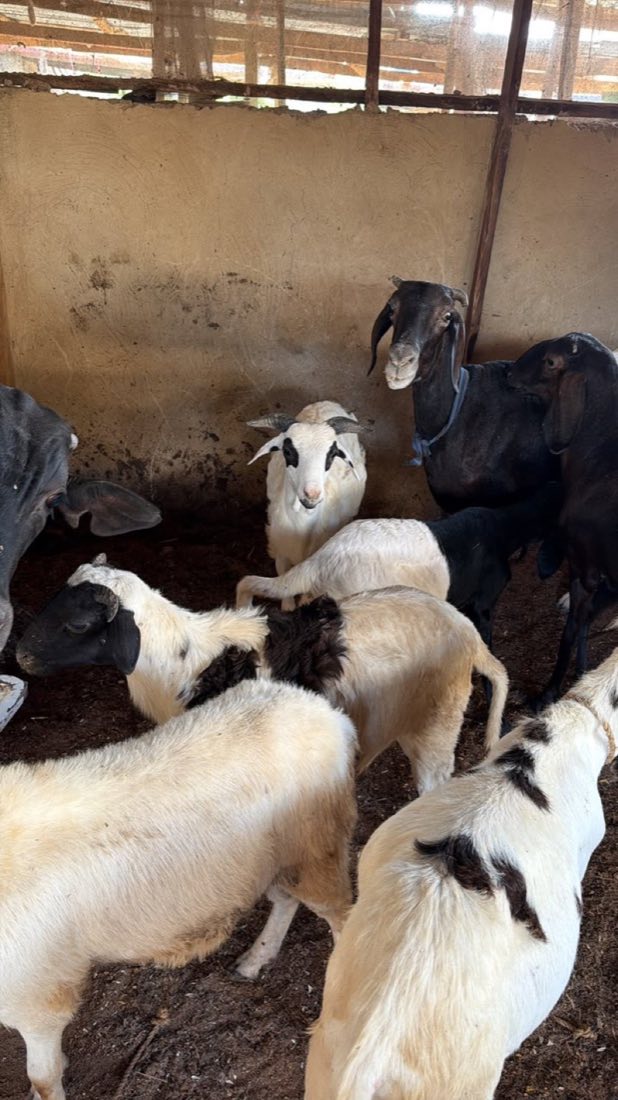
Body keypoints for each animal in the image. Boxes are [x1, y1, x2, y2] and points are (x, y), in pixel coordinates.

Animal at [0, 678, 357, 1100]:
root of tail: (322, 710)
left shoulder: (36, 993)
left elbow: (43, 1075)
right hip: (278, 857)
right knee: (285, 900)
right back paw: (255, 960)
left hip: (317, 846)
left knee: (343, 916)